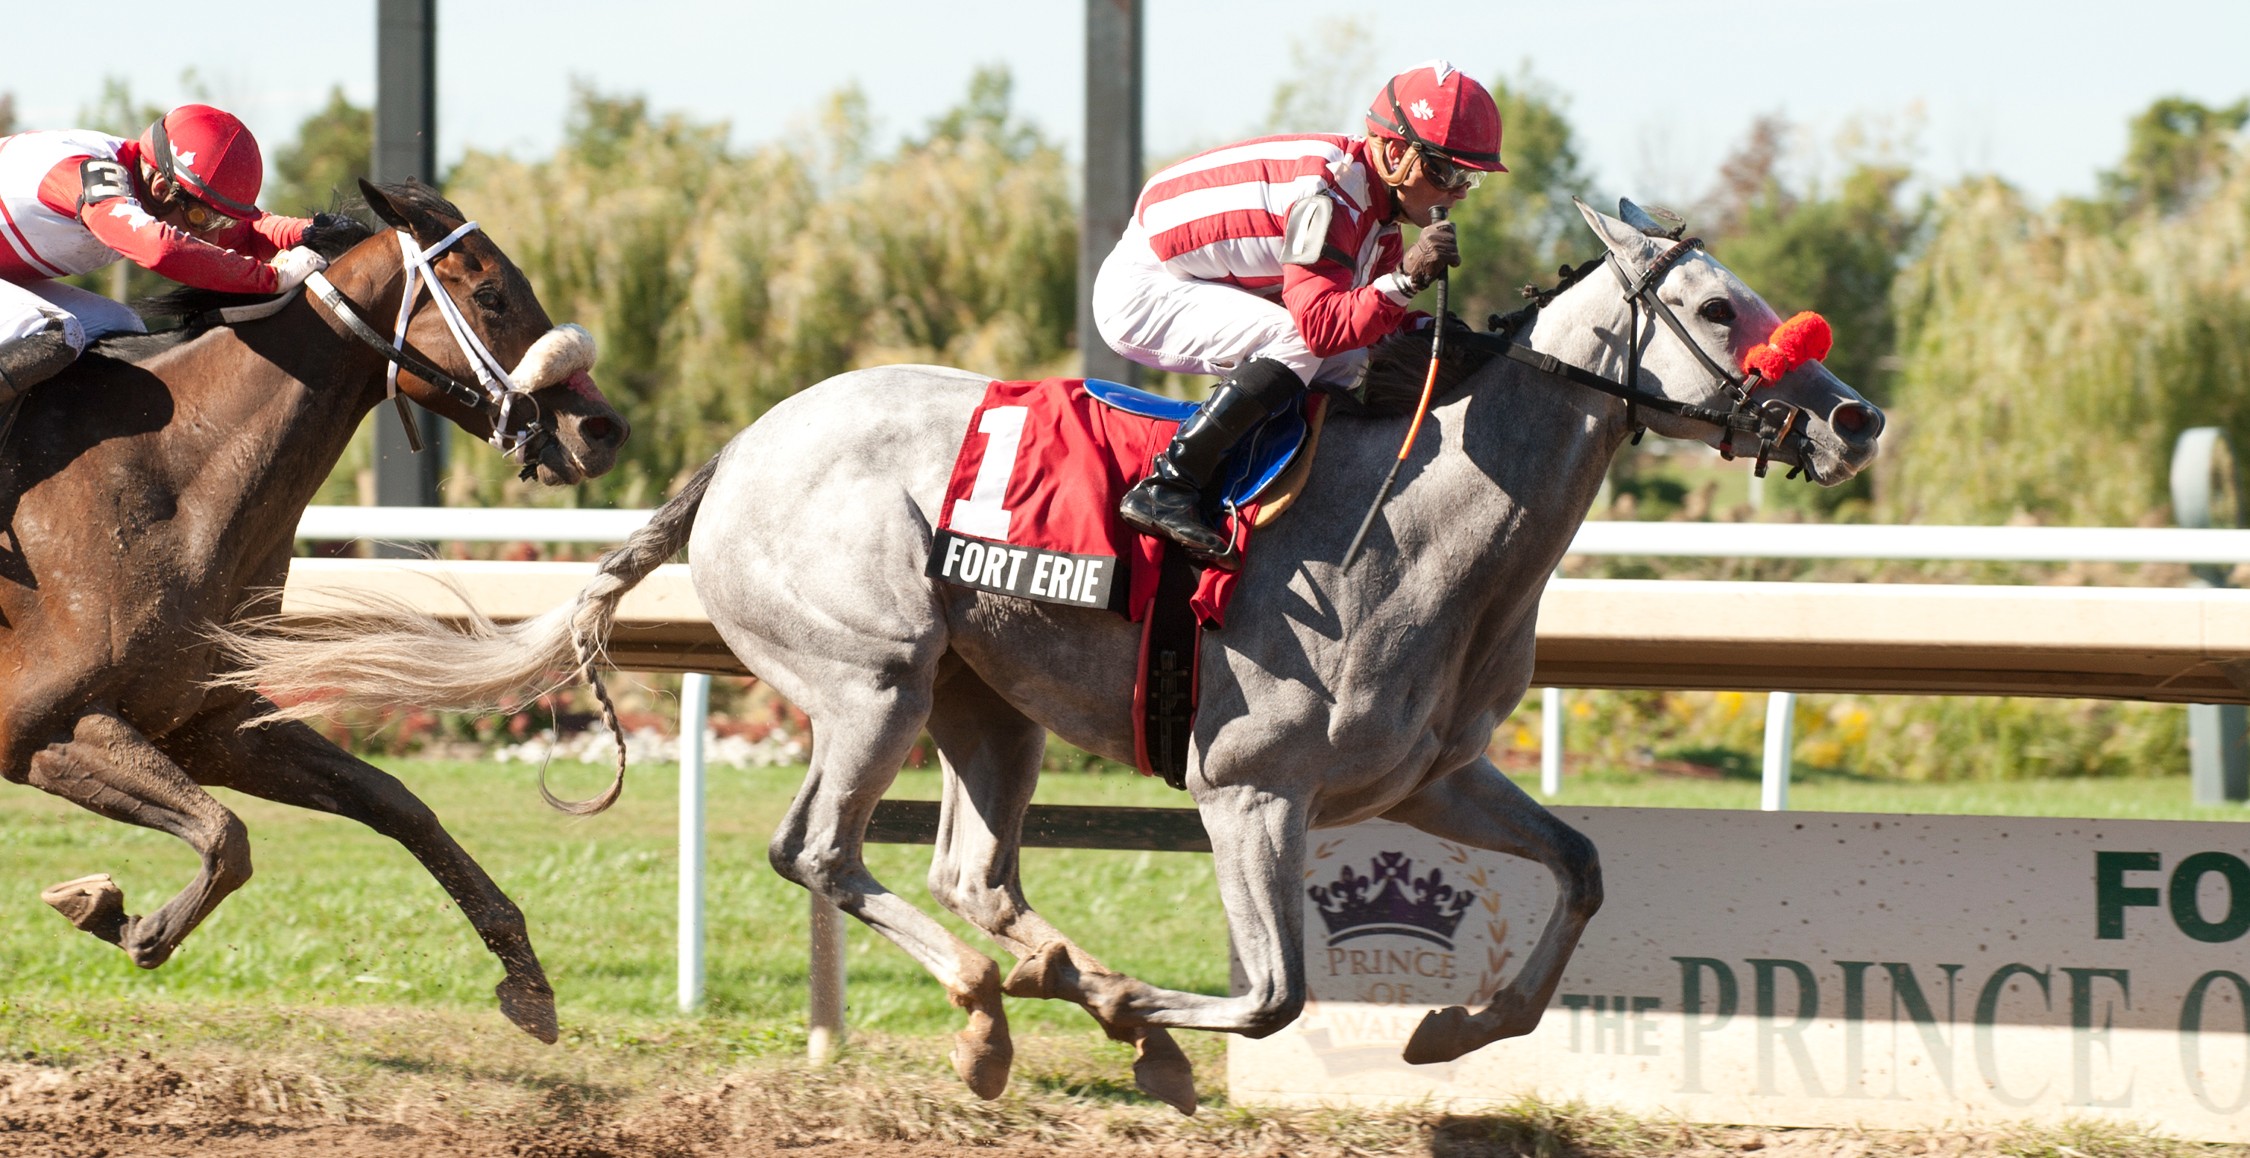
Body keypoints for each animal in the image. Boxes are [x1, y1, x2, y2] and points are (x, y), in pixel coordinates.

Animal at [8, 178, 630, 1043]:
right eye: (492, 294)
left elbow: (395, 804)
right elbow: (228, 836)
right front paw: (117, 915)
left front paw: (526, 977)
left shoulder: (209, 724)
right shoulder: (40, 726)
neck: (165, 478)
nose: (603, 429)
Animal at [228, 198, 1881, 1115]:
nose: (1852, 416)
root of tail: (737, 453)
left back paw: (1045, 988)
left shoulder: (1424, 778)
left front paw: (1449, 1027)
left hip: (986, 700)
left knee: (972, 866)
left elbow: (1583, 869)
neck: (1417, 518)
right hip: (875, 673)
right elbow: (1272, 996)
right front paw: (1159, 1018)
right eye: (1718, 305)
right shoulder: (1248, 786)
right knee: (822, 848)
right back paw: (993, 1012)